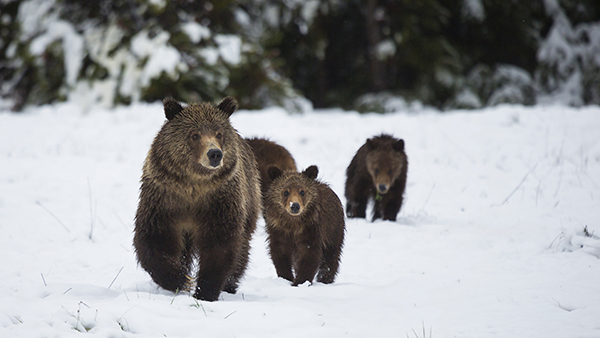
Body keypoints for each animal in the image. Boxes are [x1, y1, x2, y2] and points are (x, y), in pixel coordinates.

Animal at [134, 95, 260, 302]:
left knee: (242, 247)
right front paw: (179, 279)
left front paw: (205, 291)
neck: (193, 186)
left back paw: (230, 284)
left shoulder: (219, 202)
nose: (215, 153)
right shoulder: (164, 200)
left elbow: (220, 246)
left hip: (250, 198)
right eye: (194, 135)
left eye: (219, 134)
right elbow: (155, 240)